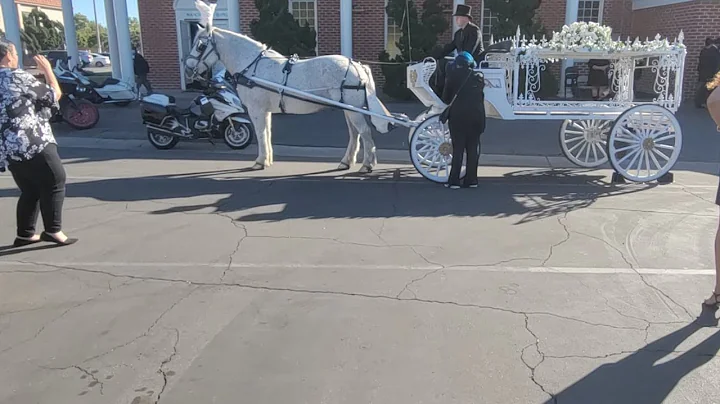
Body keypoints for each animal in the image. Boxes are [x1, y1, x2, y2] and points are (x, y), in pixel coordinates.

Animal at [184, 0, 394, 172]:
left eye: (200, 45)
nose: (188, 69)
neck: (252, 65)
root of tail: (358, 66)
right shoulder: (265, 110)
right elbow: (267, 133)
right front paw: (267, 159)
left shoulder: (256, 109)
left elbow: (260, 133)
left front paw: (259, 161)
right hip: (350, 109)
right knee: (355, 133)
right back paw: (346, 161)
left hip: (353, 109)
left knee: (364, 132)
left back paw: (367, 164)